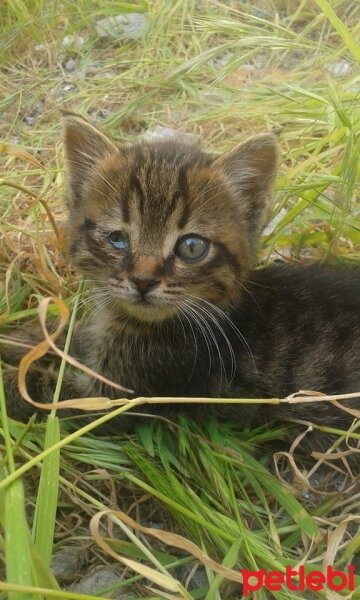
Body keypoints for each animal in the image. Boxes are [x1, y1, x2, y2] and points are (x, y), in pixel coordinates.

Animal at [2, 115, 360, 448]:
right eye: (117, 239)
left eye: (191, 247)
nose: (143, 281)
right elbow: (66, 335)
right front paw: (19, 338)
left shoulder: (119, 396)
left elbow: (43, 390)